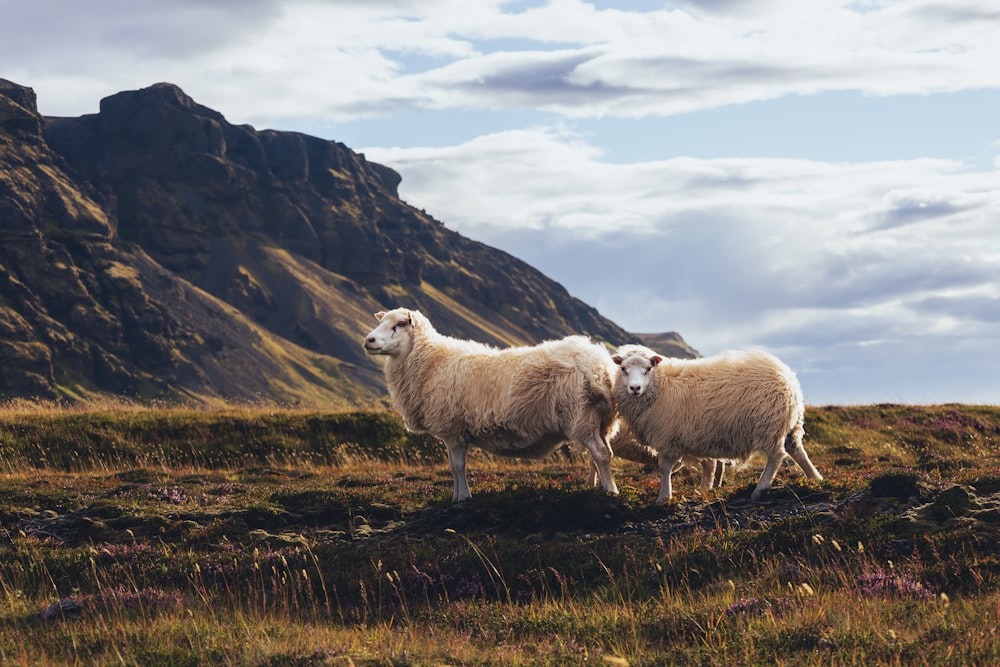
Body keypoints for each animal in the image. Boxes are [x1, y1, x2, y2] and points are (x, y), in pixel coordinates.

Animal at [364, 308, 620, 500]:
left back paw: (610, 490)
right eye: (382, 322)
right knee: (600, 453)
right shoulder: (451, 432)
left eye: (400, 324)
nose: (368, 340)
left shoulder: (453, 429)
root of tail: (599, 365)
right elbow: (452, 466)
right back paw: (595, 485)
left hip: (581, 415)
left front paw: (464, 498)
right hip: (600, 421)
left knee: (600, 453)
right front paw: (456, 496)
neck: (431, 361)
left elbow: (458, 466)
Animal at [612, 348, 824, 504]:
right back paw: (815, 478)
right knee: (797, 450)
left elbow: (665, 468)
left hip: (768, 424)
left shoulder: (668, 438)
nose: (635, 388)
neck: (660, 385)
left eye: (648, 368)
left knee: (776, 456)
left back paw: (760, 489)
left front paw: (664, 497)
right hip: (790, 424)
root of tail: (787, 378)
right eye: (623, 368)